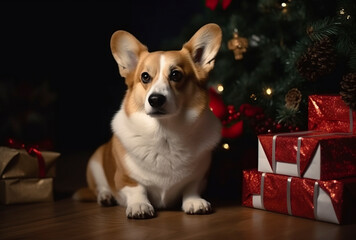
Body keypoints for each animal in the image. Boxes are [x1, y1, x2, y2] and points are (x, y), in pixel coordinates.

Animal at [73, 23, 221, 218]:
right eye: (145, 77)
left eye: (176, 75)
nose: (155, 99)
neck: (164, 133)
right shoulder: (125, 178)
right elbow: (137, 189)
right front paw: (139, 205)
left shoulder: (199, 177)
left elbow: (191, 188)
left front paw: (195, 202)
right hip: (96, 162)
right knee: (100, 188)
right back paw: (105, 196)